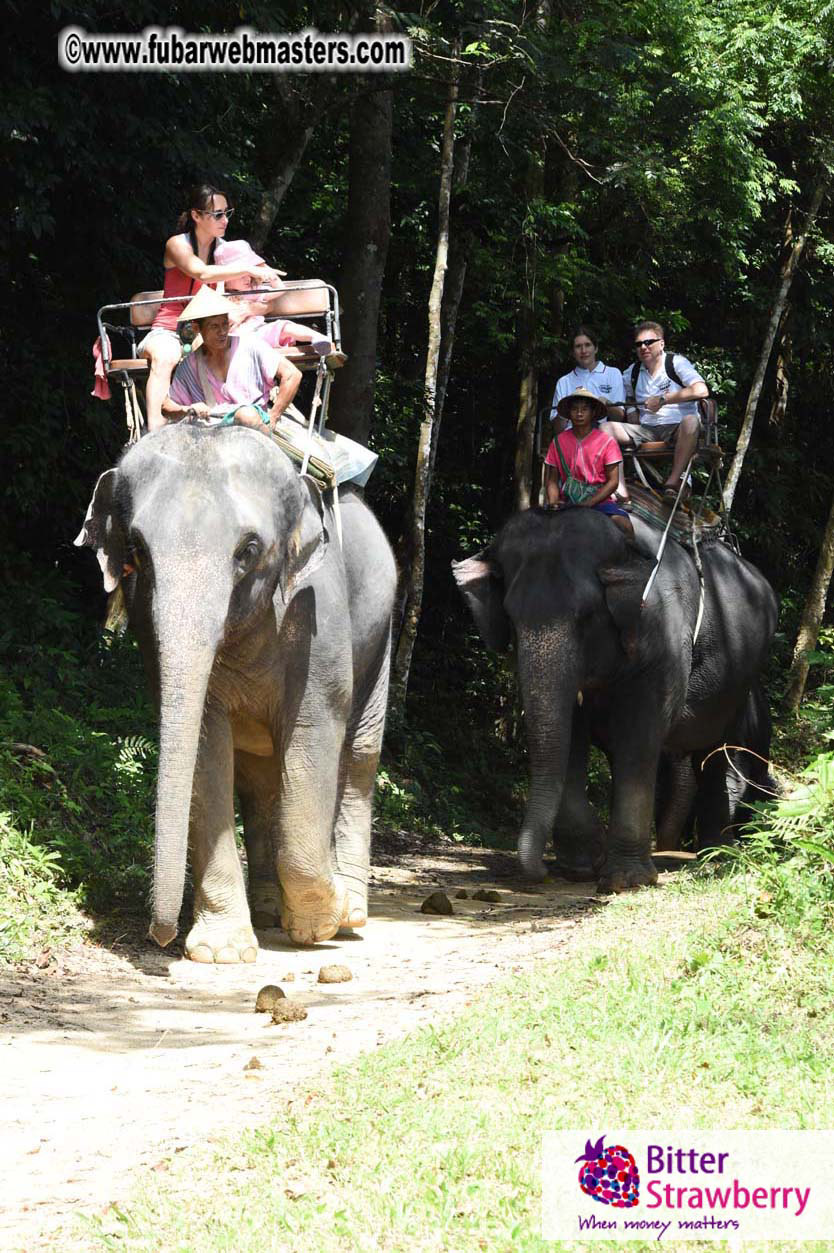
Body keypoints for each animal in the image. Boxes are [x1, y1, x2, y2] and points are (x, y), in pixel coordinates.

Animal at [75, 423, 396, 960]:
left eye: (247, 551)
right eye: (137, 551)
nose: (158, 936)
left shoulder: (319, 615)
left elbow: (313, 734)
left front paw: (322, 920)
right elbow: (206, 749)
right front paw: (220, 951)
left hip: (383, 632)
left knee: (358, 758)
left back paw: (351, 913)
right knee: (260, 781)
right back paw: (268, 911)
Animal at [453, 507, 777, 891]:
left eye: (587, 615)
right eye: (512, 617)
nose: (542, 872)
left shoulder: (664, 635)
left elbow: (639, 736)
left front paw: (626, 880)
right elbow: (572, 736)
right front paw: (582, 865)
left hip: (742, 684)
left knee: (716, 753)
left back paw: (716, 858)